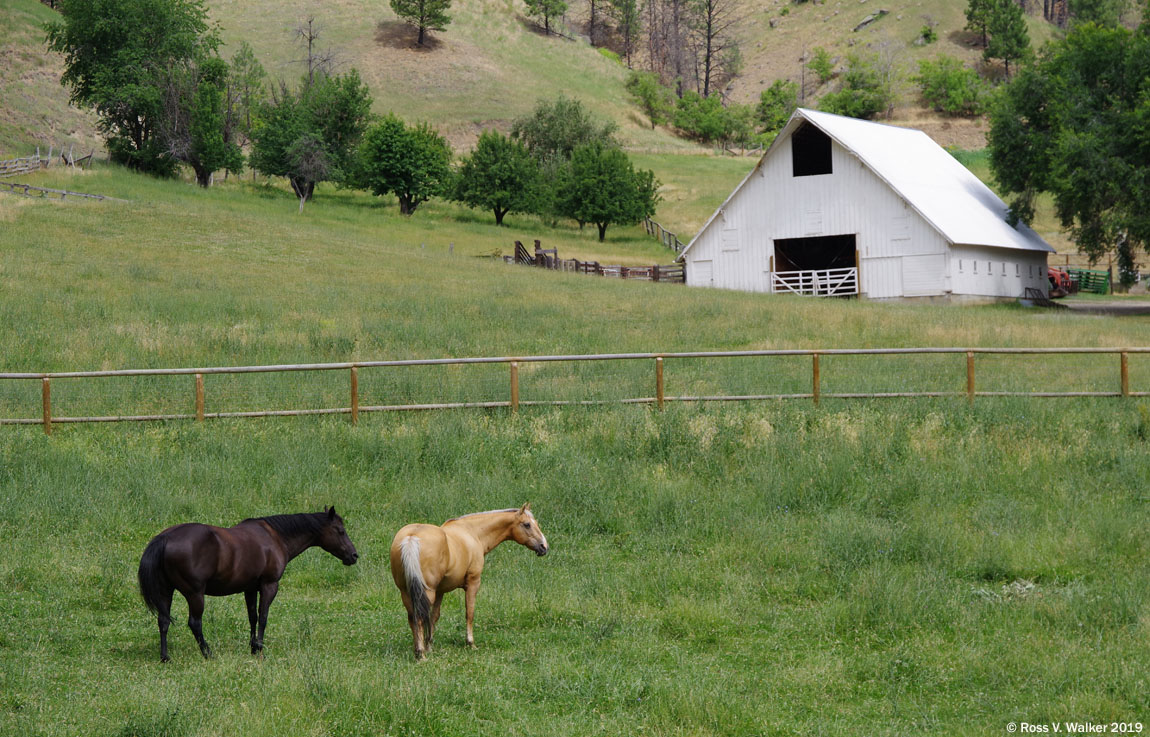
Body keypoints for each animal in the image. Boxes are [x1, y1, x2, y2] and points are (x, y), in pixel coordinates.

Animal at [137, 505, 356, 662]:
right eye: (340, 531)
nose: (354, 555)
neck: (275, 537)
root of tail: (165, 538)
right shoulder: (269, 585)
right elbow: (263, 617)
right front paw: (260, 649)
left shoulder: (250, 589)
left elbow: (252, 617)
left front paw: (252, 648)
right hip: (195, 594)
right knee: (195, 623)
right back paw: (208, 653)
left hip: (166, 591)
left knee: (163, 621)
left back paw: (165, 657)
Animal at [391, 503, 547, 657]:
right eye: (527, 524)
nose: (544, 547)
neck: (472, 532)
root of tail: (411, 537)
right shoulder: (473, 583)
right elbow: (469, 613)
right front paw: (470, 643)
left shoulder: (440, 591)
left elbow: (434, 616)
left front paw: (429, 645)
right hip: (426, 592)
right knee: (418, 618)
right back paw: (420, 654)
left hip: (407, 592)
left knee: (413, 618)